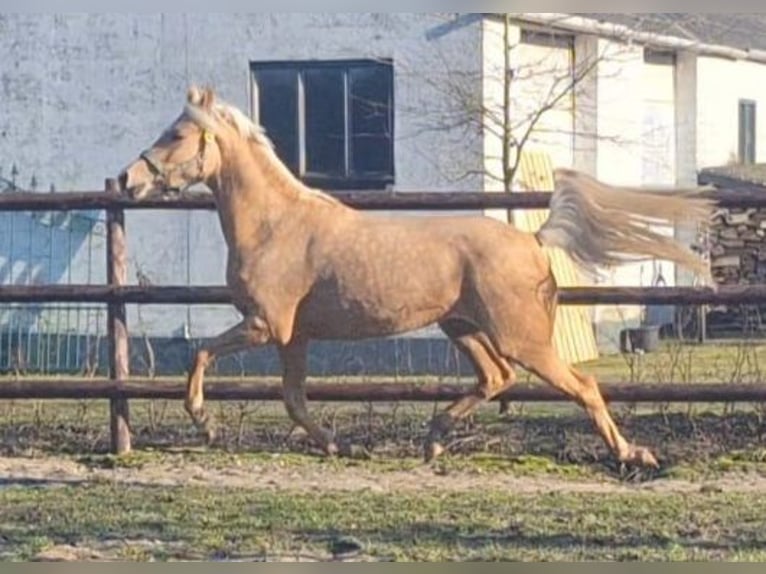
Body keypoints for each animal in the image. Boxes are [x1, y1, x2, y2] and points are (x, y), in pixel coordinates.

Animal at [117, 86, 716, 472]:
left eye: (177, 133)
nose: (128, 179)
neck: (275, 224)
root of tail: (534, 241)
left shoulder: (265, 325)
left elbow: (200, 355)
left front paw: (205, 423)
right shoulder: (294, 336)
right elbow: (294, 398)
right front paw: (338, 447)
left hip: (520, 337)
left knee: (580, 386)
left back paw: (632, 455)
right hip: (462, 328)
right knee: (495, 378)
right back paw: (433, 441)